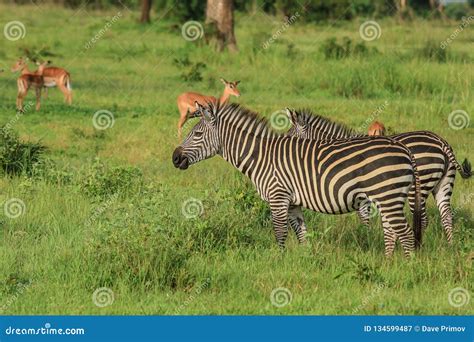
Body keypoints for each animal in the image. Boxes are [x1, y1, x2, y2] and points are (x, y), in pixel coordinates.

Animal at [173, 101, 422, 256]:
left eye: (197, 134)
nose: (175, 158)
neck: (260, 157)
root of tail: (404, 149)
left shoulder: (278, 196)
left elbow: (279, 231)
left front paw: (279, 261)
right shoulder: (292, 202)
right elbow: (301, 234)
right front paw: (305, 260)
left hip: (387, 196)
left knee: (406, 233)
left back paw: (406, 268)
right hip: (388, 198)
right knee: (392, 231)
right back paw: (388, 263)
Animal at [286, 109, 470, 243]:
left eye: (290, 138)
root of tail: (441, 142)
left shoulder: (361, 194)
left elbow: (364, 218)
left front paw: (367, 239)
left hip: (418, 189)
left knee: (423, 220)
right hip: (443, 185)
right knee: (447, 216)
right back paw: (449, 246)